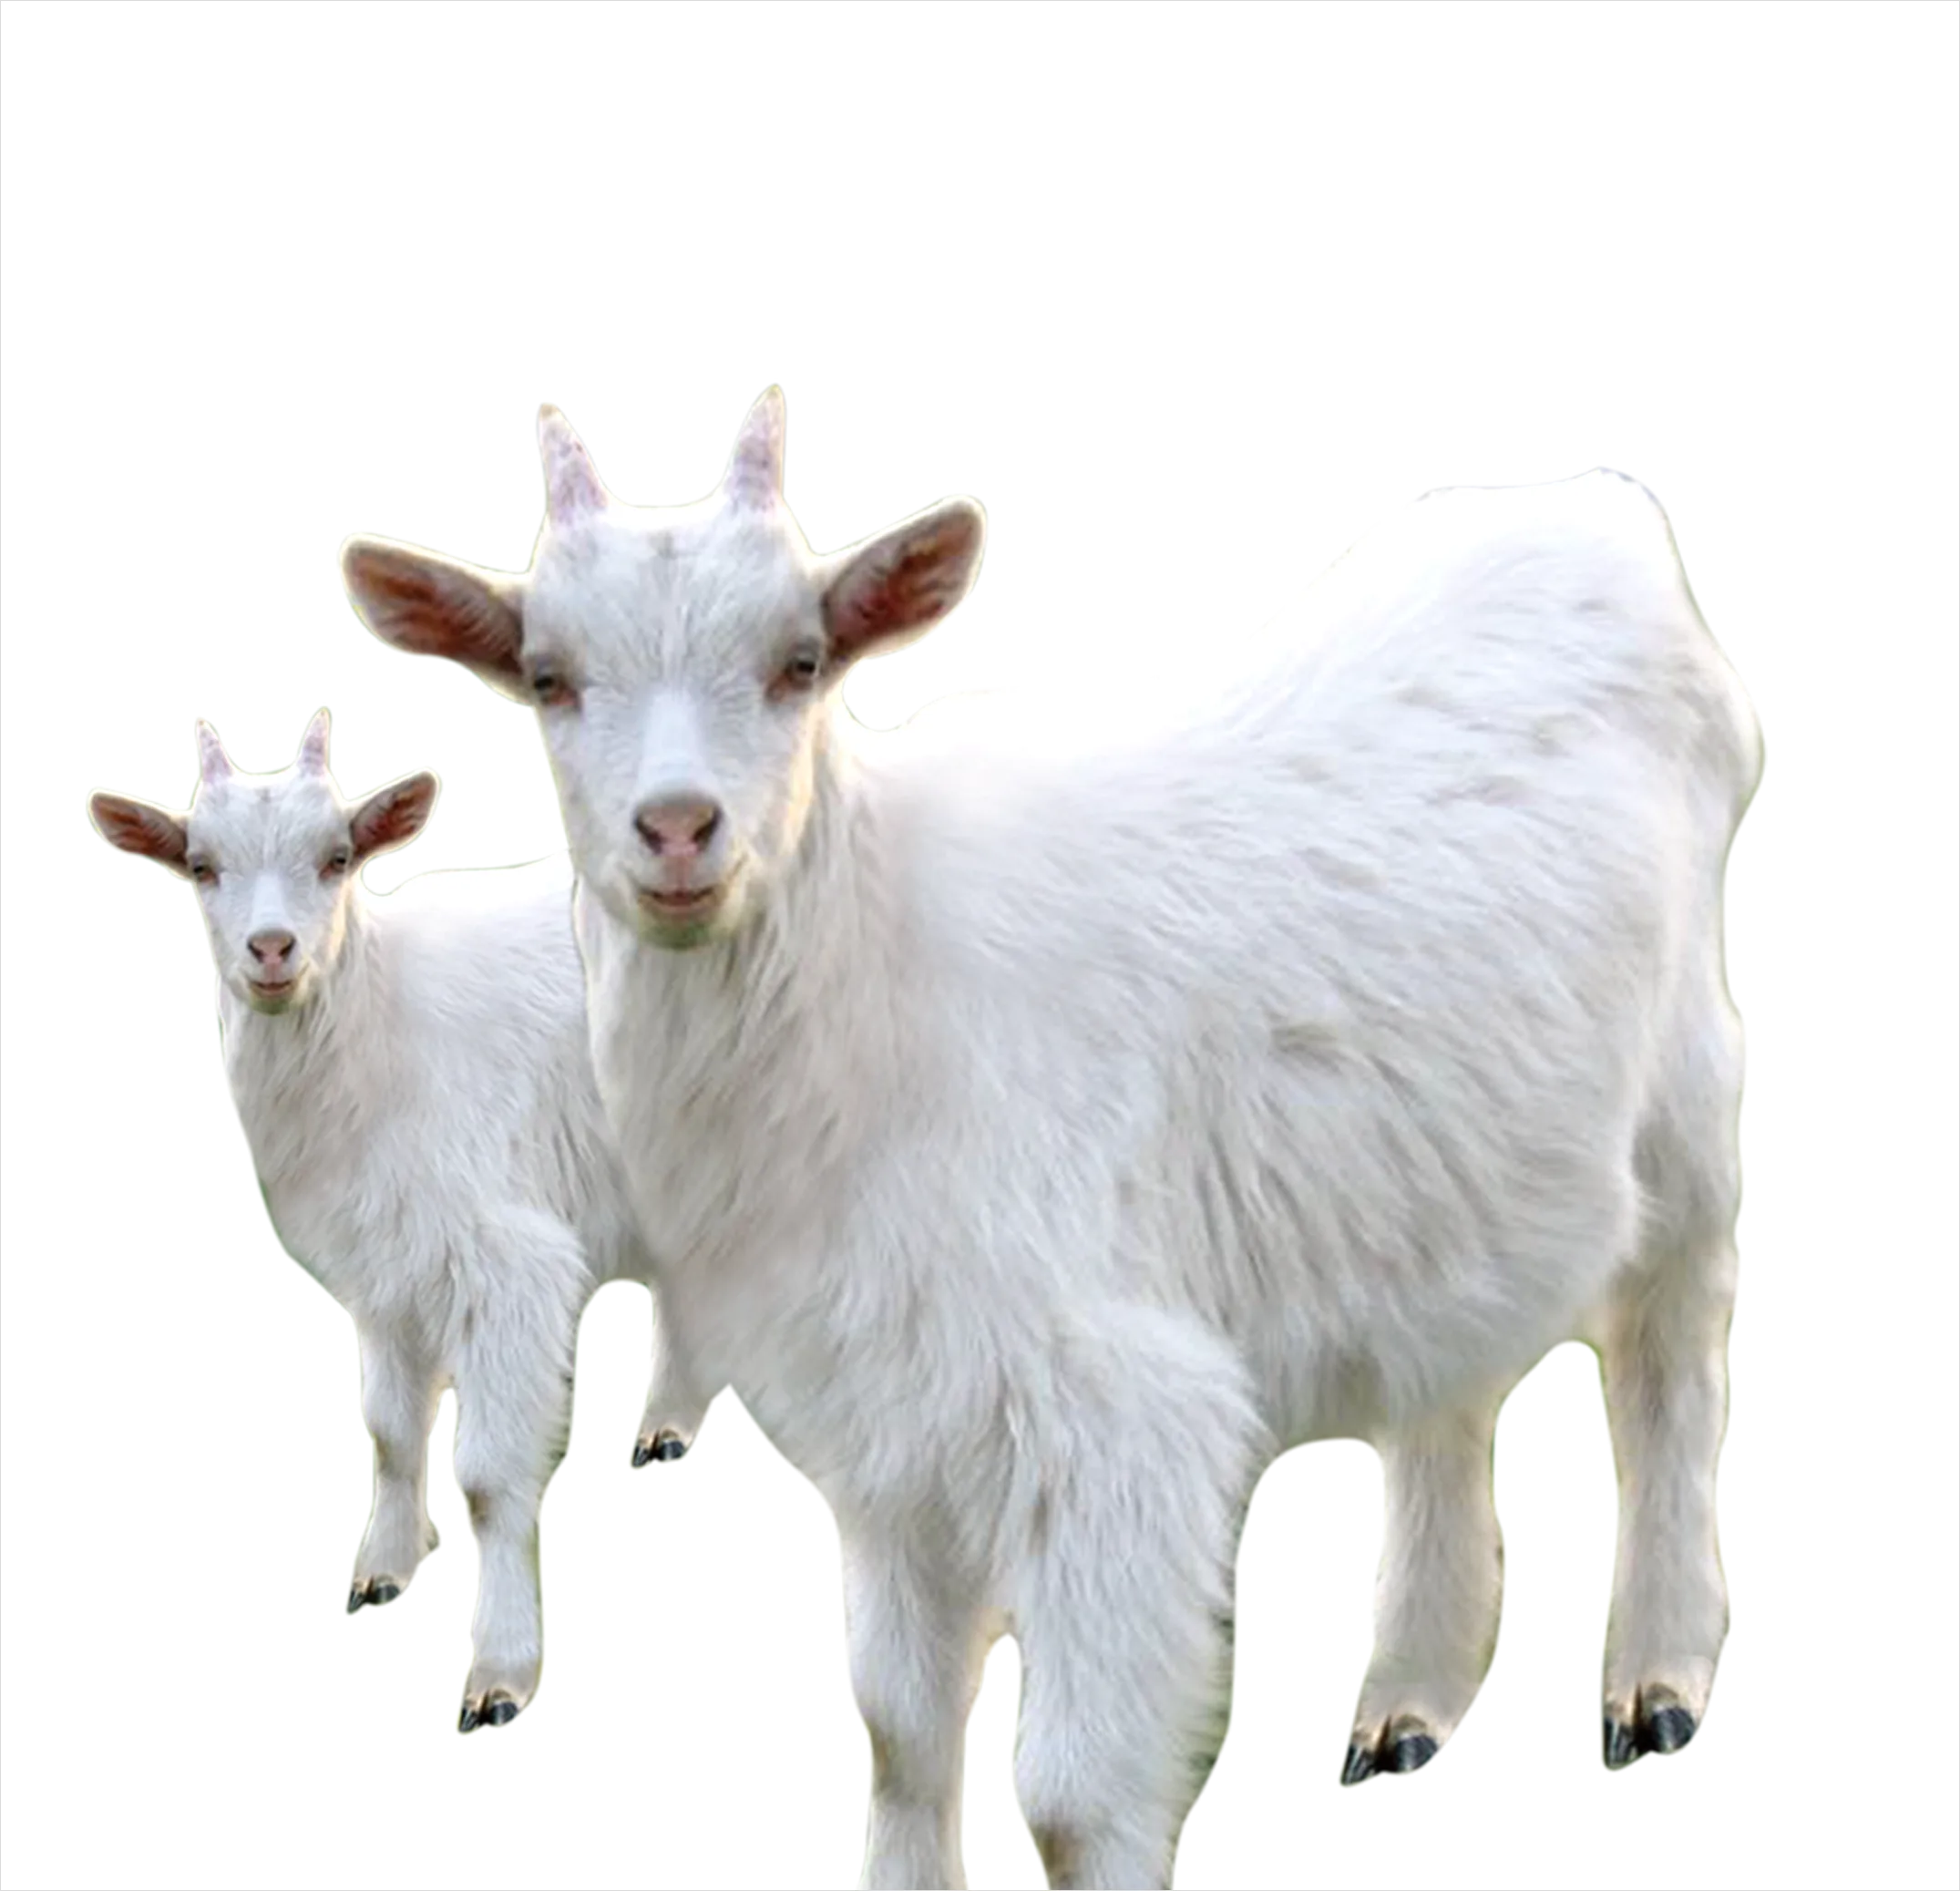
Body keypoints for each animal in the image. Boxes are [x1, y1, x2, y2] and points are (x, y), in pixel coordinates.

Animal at [85, 710, 709, 1733]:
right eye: (201, 864)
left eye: (337, 856)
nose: (270, 950)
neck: (382, 1033)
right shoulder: (386, 1268)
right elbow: (386, 1425)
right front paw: (382, 1565)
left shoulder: (509, 1261)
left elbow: (490, 1478)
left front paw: (500, 1674)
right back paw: (669, 1423)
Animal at [338, 393, 1763, 1886]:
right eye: (549, 676)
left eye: (799, 661)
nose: (676, 829)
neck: (875, 973)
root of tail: (1582, 502)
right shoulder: (892, 1415)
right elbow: (899, 1728)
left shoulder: (1113, 1409)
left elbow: (1076, 1798)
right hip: (1442, 1160)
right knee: (1449, 1374)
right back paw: (1406, 1704)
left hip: (1682, 1096)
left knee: (1666, 1361)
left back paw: (1655, 1682)